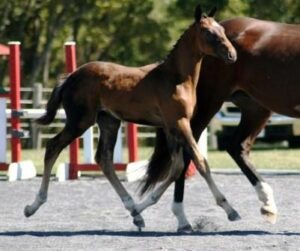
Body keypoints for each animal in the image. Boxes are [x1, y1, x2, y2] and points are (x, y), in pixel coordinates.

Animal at [24, 5, 239, 229]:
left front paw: (143, 207)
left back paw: (134, 210)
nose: (232, 55)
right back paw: (33, 205)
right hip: (79, 122)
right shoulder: (180, 124)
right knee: (53, 147)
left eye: (222, 30)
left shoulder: (170, 127)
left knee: (104, 159)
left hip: (109, 122)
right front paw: (230, 209)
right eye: (208, 32)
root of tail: (70, 77)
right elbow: (200, 162)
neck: (175, 78)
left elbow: (177, 167)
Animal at [142, 16, 300, 231]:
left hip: (256, 109)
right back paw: (183, 219)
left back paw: (267, 204)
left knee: (237, 147)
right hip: (205, 107)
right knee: (189, 154)